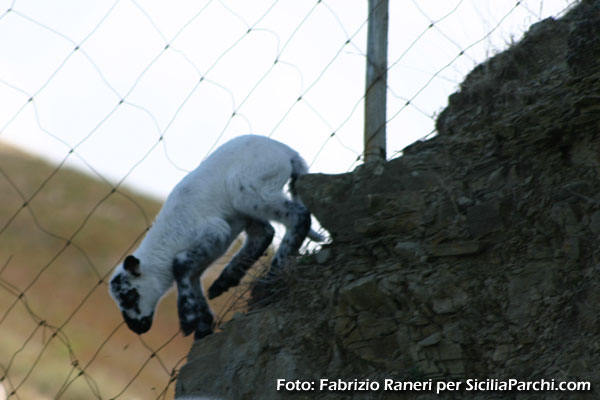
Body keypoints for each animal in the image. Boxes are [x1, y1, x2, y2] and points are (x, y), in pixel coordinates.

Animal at [108, 134, 324, 338]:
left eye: (130, 296)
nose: (136, 328)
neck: (166, 244)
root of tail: (288, 152)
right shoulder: (205, 254)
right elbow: (192, 280)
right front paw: (202, 326)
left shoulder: (214, 232)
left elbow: (179, 264)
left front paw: (188, 320)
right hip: (247, 205)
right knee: (265, 233)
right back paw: (225, 281)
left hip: (250, 189)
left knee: (298, 217)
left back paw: (273, 276)